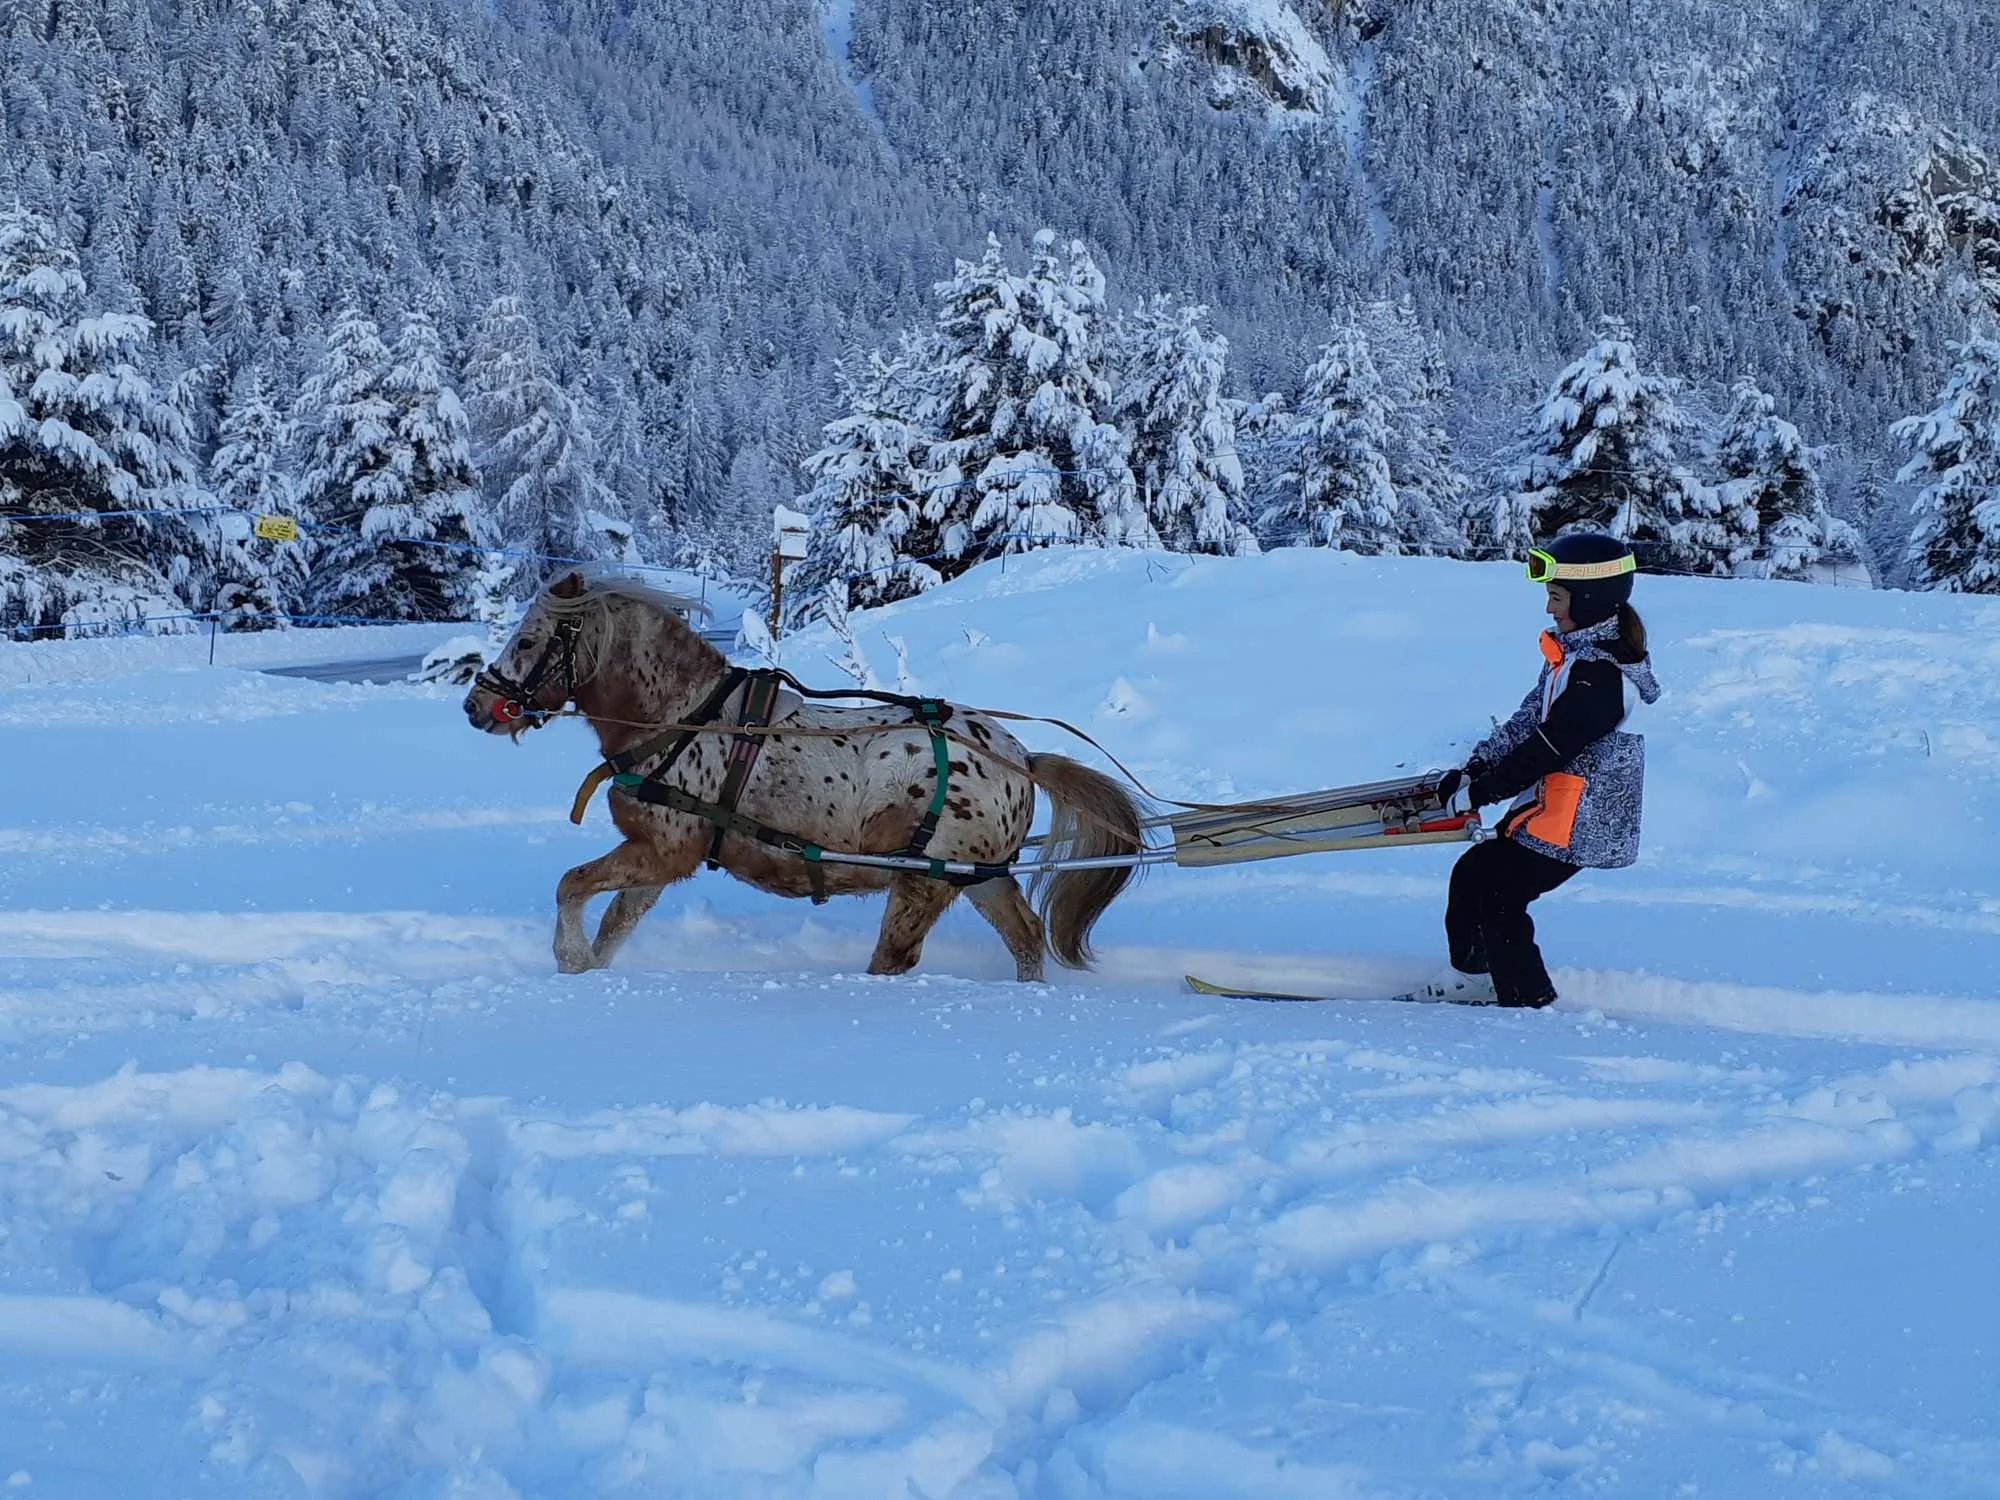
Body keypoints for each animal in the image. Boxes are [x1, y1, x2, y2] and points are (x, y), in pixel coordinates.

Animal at [462, 571, 1147, 980]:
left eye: (528, 641)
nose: (475, 706)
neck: (681, 717)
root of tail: (1020, 759)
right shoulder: (659, 858)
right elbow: (615, 923)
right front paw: (589, 970)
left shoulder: (662, 850)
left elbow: (571, 886)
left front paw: (567, 958)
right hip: (978, 876)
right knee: (1026, 937)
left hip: (922, 882)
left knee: (897, 958)